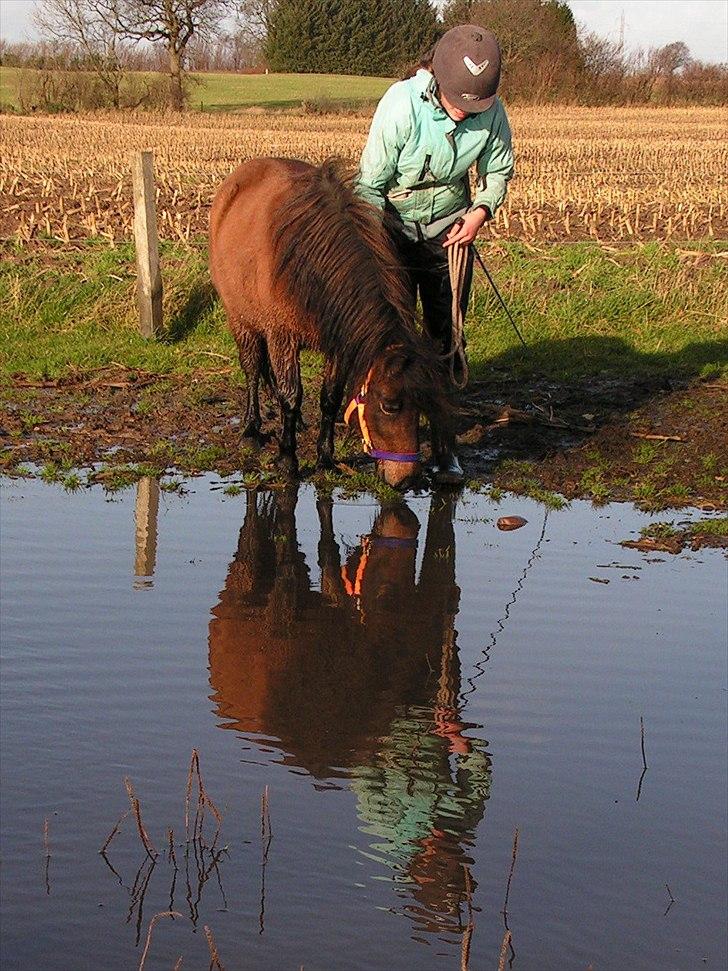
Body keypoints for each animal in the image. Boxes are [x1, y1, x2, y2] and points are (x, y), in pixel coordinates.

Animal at [209, 161, 450, 494]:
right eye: (390, 405)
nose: (406, 480)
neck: (307, 261)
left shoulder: (337, 344)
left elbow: (330, 397)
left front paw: (325, 458)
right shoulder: (281, 337)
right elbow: (290, 395)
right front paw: (287, 460)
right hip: (242, 321)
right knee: (253, 369)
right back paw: (251, 430)